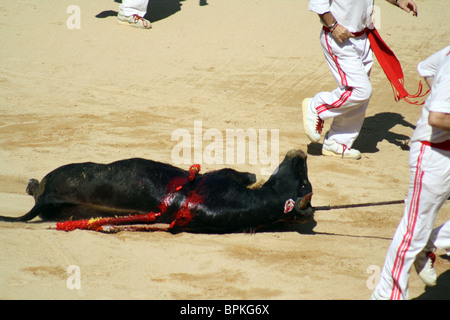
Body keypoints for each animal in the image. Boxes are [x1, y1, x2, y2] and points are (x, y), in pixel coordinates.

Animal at [0, 149, 316, 234]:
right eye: (304, 182)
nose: (301, 153)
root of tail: (45, 197)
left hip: (69, 173)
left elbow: (245, 175)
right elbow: (247, 175)